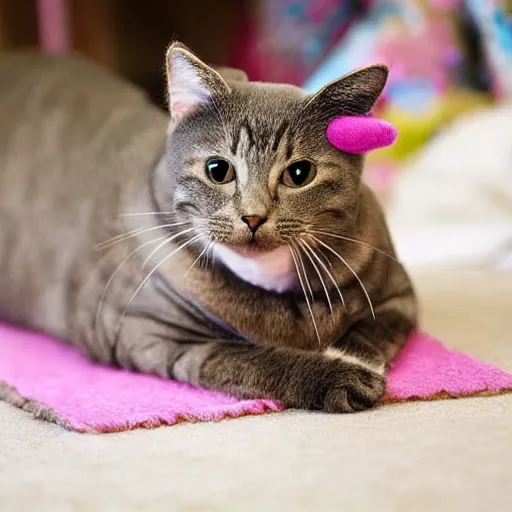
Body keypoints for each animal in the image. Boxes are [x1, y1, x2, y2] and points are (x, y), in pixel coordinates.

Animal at [0, 43, 416, 412]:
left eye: (300, 174)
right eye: (218, 170)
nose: (253, 216)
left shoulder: (399, 296)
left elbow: (372, 330)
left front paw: (354, 358)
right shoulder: (146, 332)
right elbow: (247, 358)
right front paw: (338, 375)